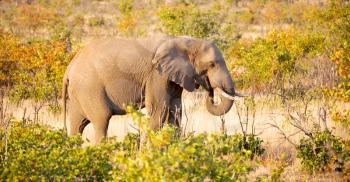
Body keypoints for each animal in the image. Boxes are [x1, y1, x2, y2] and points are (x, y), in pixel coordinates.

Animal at [63, 35, 242, 144]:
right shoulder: (157, 75)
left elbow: (175, 110)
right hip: (89, 89)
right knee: (102, 120)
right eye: (212, 64)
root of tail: (69, 68)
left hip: (79, 93)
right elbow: (159, 110)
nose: (210, 90)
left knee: (78, 125)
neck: (185, 41)